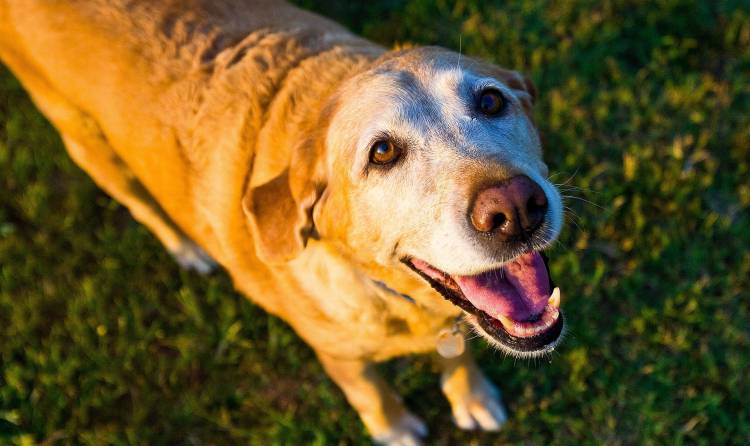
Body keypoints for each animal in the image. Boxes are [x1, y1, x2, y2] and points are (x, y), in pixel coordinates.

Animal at [0, 1, 564, 444]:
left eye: (490, 100)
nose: (515, 209)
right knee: (140, 202)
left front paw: (471, 396)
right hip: (86, 142)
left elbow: (458, 355)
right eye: (382, 152)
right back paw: (186, 249)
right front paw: (396, 429)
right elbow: (372, 393)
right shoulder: (338, 356)